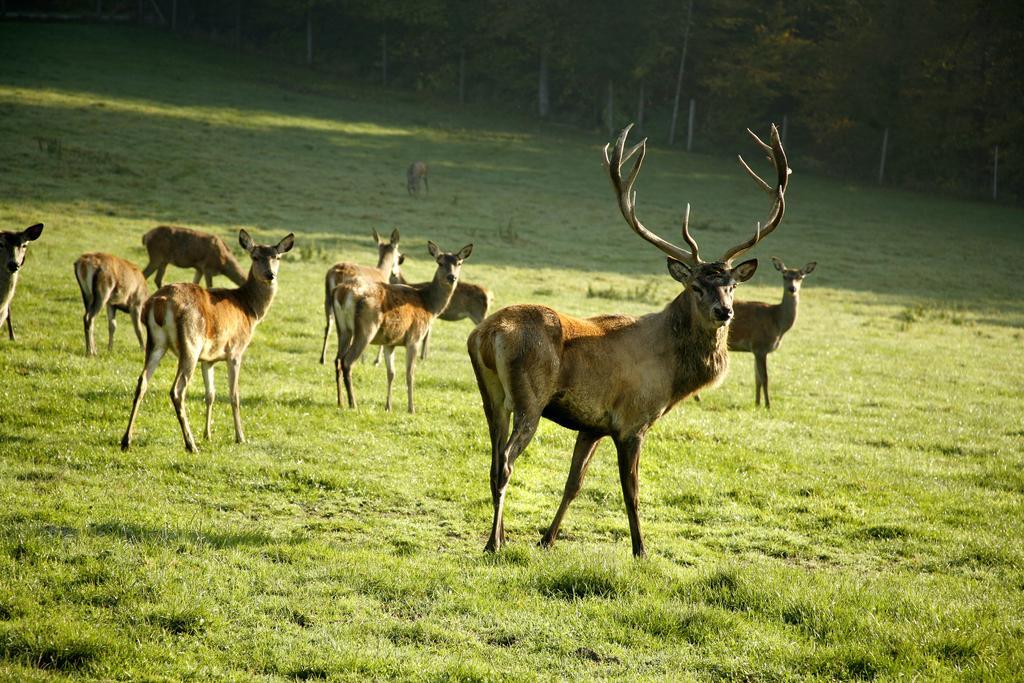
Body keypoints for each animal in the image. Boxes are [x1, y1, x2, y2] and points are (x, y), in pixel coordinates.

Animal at [122, 229, 296, 454]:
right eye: (255, 256)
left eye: (277, 257)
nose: (270, 275)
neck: (250, 311)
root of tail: (159, 303)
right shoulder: (236, 350)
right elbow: (234, 394)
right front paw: (240, 437)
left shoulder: (208, 359)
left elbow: (210, 394)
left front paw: (208, 434)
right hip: (191, 343)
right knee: (177, 390)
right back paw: (191, 444)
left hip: (156, 342)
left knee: (142, 381)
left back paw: (126, 440)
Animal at [315, 228, 403, 368]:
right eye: (398, 256)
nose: (396, 272)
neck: (382, 273)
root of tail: (337, 273)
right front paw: (375, 361)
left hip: (327, 298)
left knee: (329, 325)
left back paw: (322, 359)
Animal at [335, 240, 475, 411]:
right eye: (440, 262)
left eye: (459, 263)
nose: (452, 277)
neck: (429, 306)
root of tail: (342, 294)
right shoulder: (414, 337)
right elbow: (410, 374)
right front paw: (411, 408)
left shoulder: (389, 342)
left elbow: (391, 373)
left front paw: (388, 407)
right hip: (366, 328)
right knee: (347, 361)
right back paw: (353, 403)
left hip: (343, 329)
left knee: (337, 360)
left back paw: (340, 401)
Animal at [466, 125, 790, 557]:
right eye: (697, 286)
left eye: (732, 285)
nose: (724, 311)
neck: (673, 378)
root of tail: (486, 333)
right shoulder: (633, 421)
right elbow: (632, 493)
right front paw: (641, 550)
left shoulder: (592, 425)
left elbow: (573, 484)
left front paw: (547, 539)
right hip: (529, 398)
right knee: (504, 463)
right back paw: (493, 544)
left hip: (492, 397)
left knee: (492, 460)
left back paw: (500, 537)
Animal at [729, 254, 815, 405]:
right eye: (784, 275)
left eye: (801, 277)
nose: (792, 288)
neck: (777, 322)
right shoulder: (760, 346)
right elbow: (765, 378)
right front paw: (768, 405)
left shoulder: (755, 350)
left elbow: (757, 378)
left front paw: (757, 404)